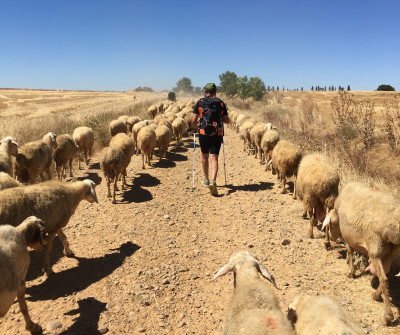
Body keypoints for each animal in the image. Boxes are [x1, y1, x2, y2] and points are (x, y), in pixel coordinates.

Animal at [322, 181, 400, 326]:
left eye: (331, 226)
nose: (332, 238)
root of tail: (396, 224)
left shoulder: (348, 236)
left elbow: (350, 251)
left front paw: (351, 272)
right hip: (392, 250)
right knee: (386, 273)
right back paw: (376, 295)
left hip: (375, 245)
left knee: (383, 278)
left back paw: (387, 316)